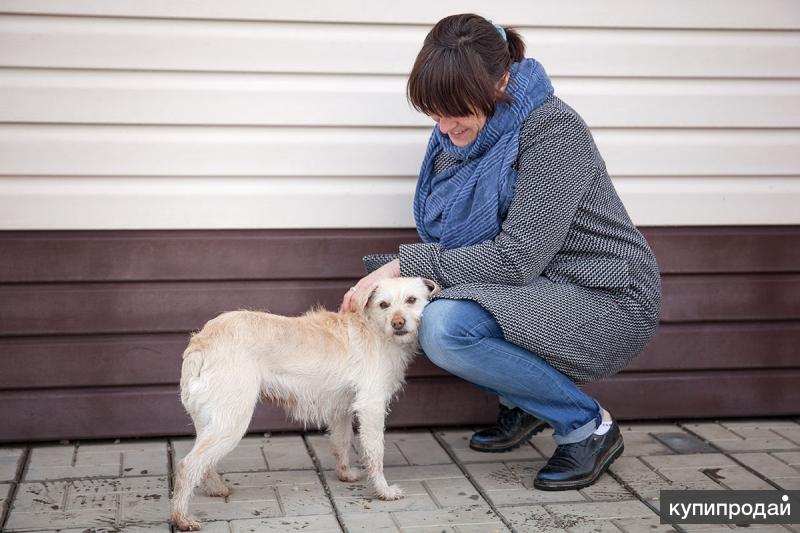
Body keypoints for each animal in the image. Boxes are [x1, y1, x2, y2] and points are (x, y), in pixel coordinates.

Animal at [168, 276, 438, 528]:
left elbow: (342, 442)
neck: (374, 327)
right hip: (231, 421)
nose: (398, 323)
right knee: (187, 465)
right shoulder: (372, 406)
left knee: (202, 461)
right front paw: (383, 491)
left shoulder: (341, 409)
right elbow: (375, 452)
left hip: (212, 420)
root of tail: (201, 342)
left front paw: (345, 474)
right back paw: (181, 518)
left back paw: (215, 488)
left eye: (411, 300)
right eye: (384, 304)